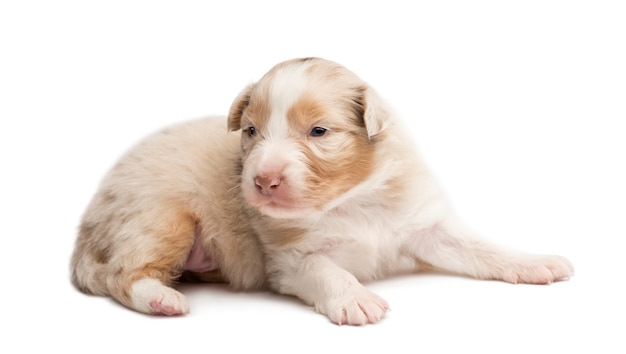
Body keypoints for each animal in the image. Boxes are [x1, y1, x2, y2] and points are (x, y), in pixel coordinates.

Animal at [70, 56, 572, 324]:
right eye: (251, 131)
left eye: (318, 132)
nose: (262, 180)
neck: (353, 201)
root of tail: (86, 230)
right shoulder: (289, 259)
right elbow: (326, 270)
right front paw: (356, 299)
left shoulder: (424, 225)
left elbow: (480, 248)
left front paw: (536, 263)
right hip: (160, 216)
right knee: (120, 275)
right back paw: (163, 298)